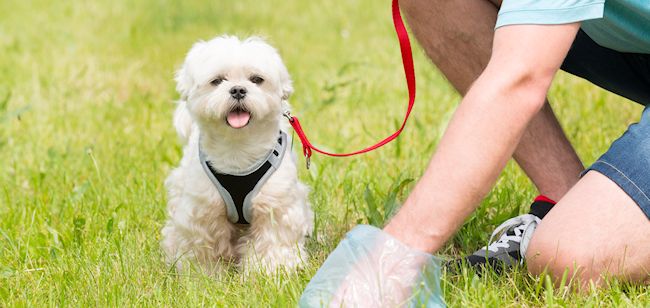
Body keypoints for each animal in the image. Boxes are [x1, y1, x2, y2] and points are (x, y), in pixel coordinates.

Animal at [162, 35, 314, 274]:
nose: (238, 90)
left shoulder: (275, 204)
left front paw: (269, 272)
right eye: (217, 81)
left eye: (256, 79)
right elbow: (204, 244)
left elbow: (272, 240)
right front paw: (204, 274)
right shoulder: (203, 209)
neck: (238, 149)